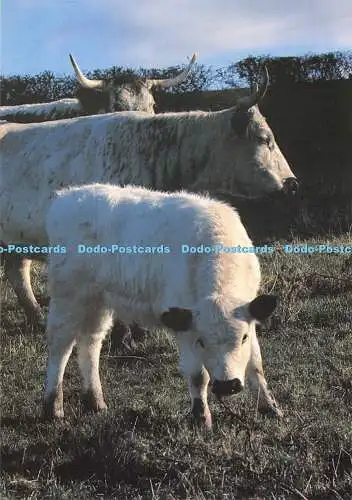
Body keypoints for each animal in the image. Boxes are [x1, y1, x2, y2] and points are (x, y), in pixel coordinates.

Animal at [42, 184, 282, 426]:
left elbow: (256, 365)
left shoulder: (249, 318)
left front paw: (270, 407)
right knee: (60, 346)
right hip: (68, 297)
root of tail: (68, 196)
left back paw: (95, 402)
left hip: (98, 301)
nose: (227, 385)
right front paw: (201, 417)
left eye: (243, 338)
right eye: (201, 341)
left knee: (90, 342)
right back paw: (53, 407)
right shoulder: (186, 328)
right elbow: (198, 376)